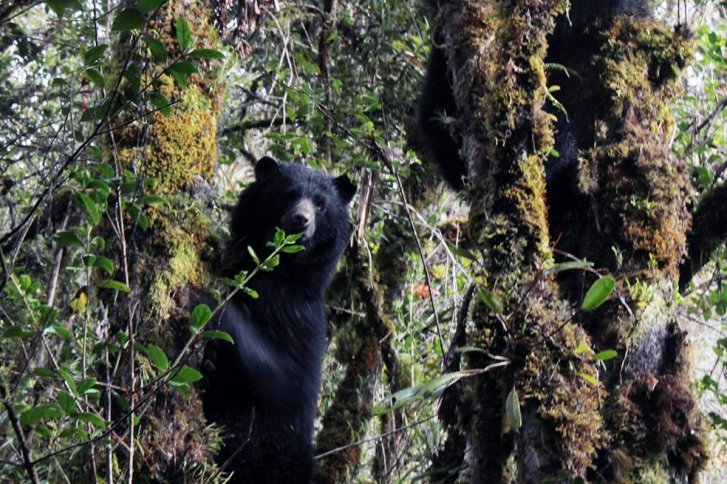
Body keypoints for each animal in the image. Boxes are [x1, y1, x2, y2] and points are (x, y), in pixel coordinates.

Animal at [202, 156, 356, 483]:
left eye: (321, 204)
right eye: (289, 193)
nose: (301, 220)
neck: (281, 268)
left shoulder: (295, 318)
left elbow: (274, 370)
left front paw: (208, 298)